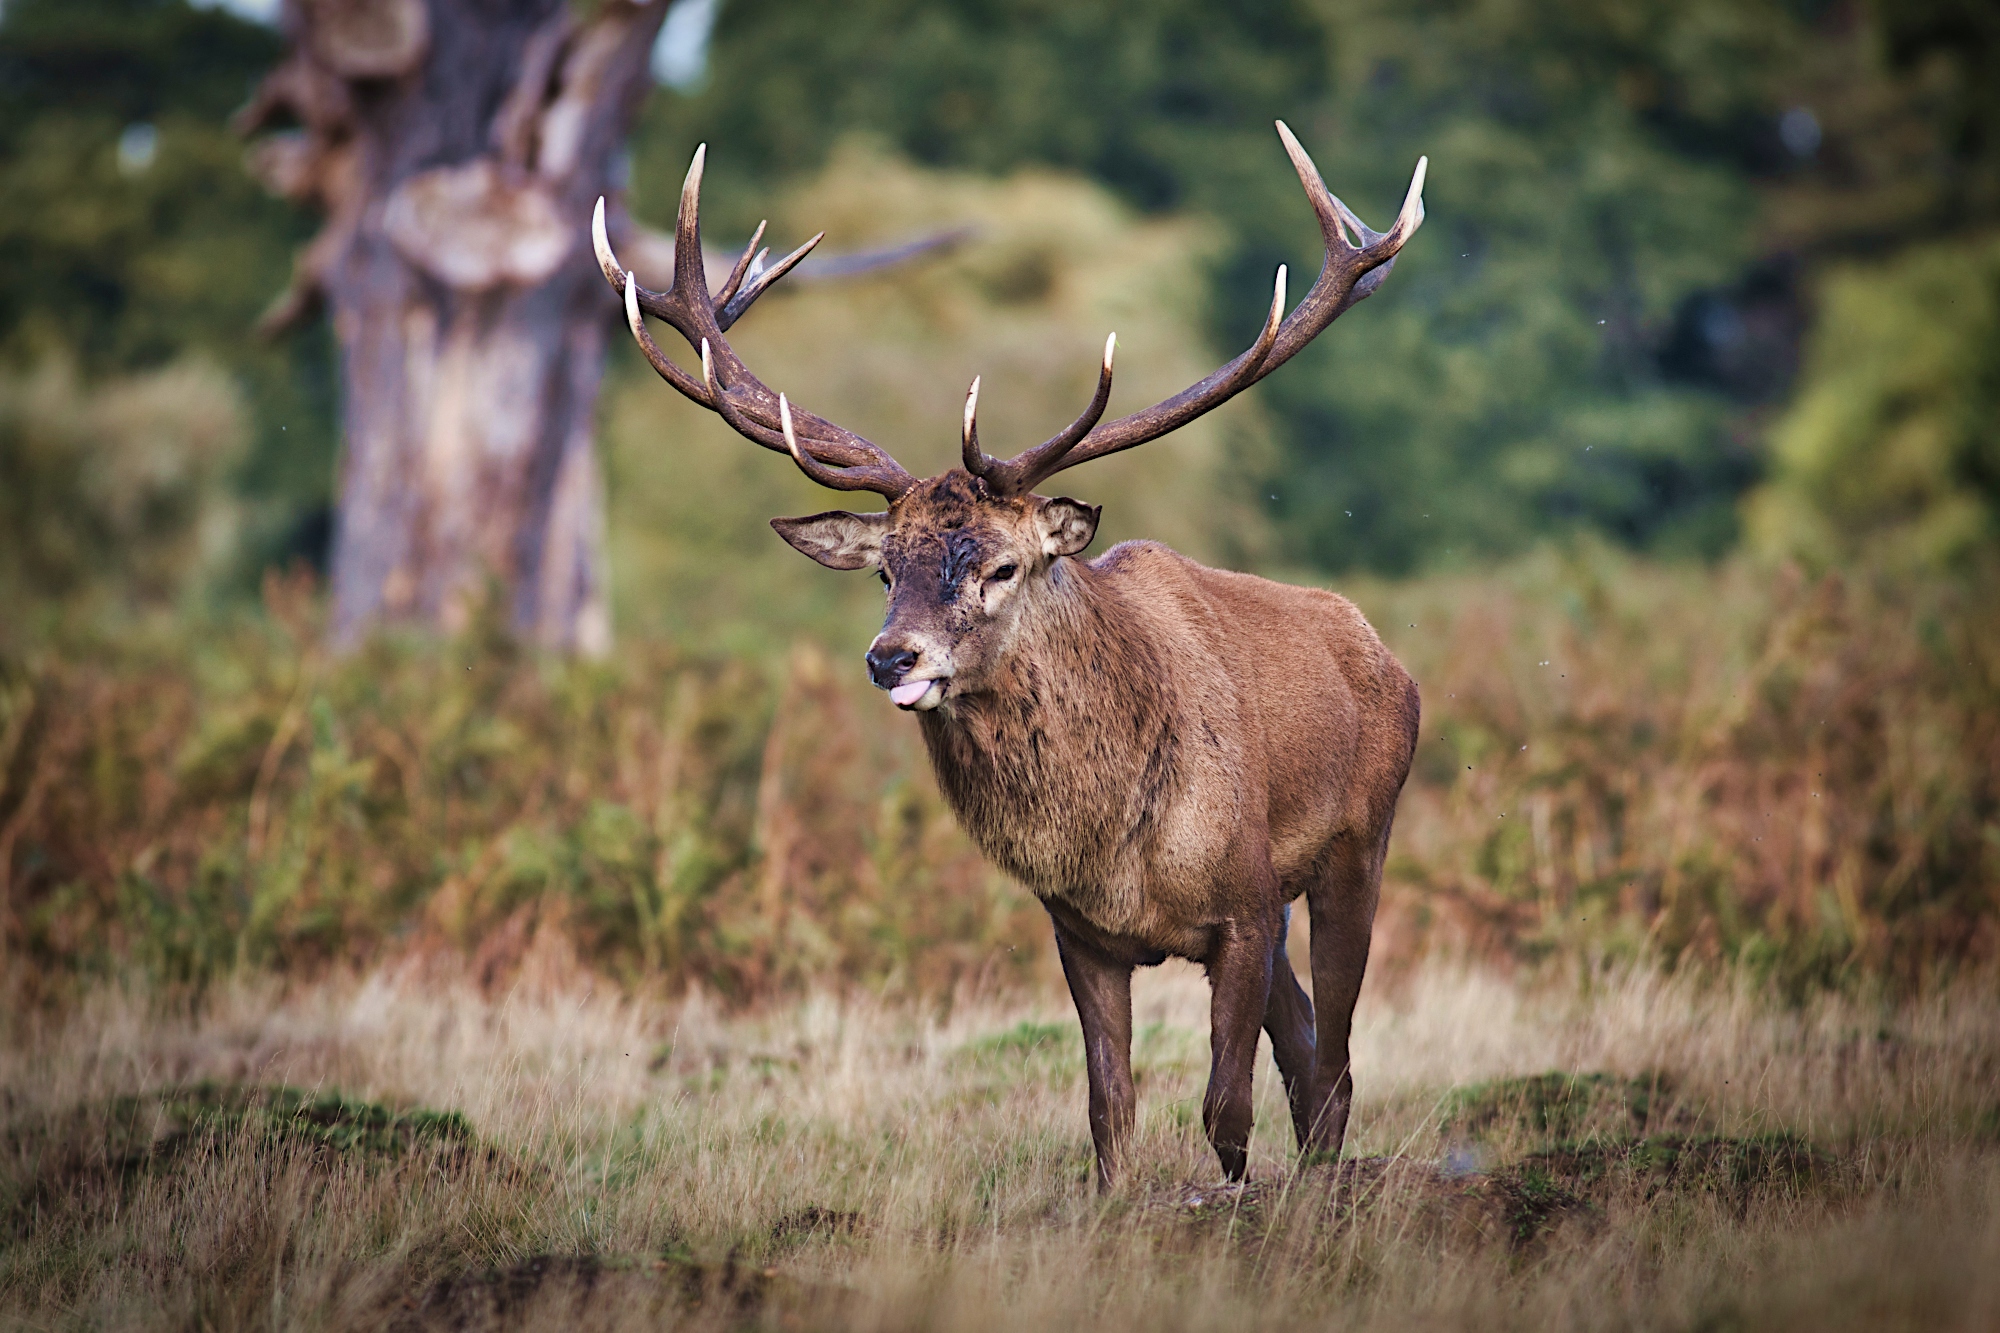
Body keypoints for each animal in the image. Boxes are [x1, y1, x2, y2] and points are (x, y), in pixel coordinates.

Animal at [584, 122, 1432, 1184]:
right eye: (884, 569)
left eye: (1000, 566)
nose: (892, 659)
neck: (1115, 847)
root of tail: (1383, 653)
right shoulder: (1080, 933)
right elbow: (1110, 1114)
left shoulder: (1243, 907)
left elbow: (1224, 1109)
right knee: (1313, 1047)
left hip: (1358, 843)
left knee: (1338, 1058)